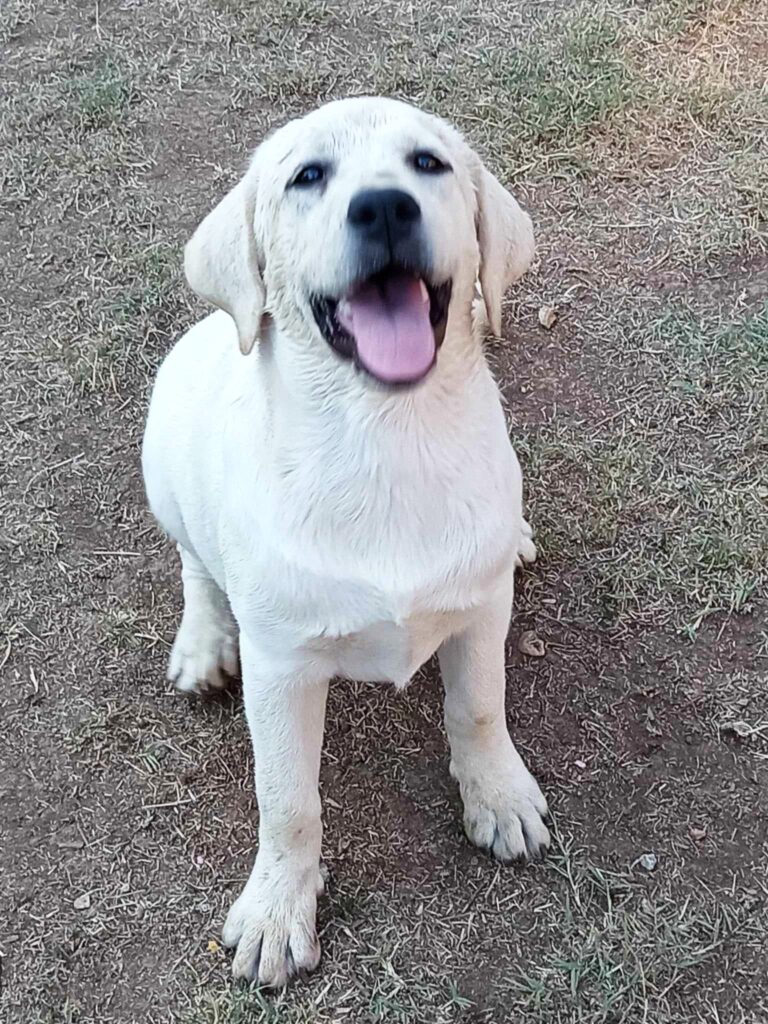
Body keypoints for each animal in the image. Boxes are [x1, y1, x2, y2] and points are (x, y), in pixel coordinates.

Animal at [143, 94, 548, 983]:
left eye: (428, 163)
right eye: (308, 176)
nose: (385, 207)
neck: (384, 435)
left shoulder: (480, 615)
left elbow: (478, 710)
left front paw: (497, 794)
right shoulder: (281, 666)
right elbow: (287, 800)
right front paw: (277, 908)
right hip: (163, 462)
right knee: (196, 563)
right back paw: (202, 640)